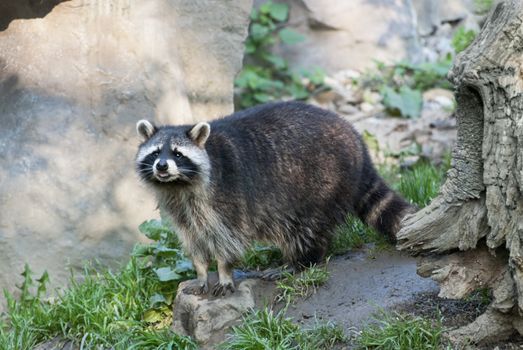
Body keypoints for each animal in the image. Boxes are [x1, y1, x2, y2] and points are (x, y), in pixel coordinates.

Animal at [135, 100, 414, 296]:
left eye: (178, 154)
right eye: (156, 152)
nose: (162, 166)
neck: (179, 185)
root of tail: (357, 142)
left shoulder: (227, 198)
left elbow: (228, 239)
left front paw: (224, 271)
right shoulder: (182, 210)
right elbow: (194, 241)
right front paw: (202, 272)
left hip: (321, 182)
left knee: (304, 229)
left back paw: (300, 261)